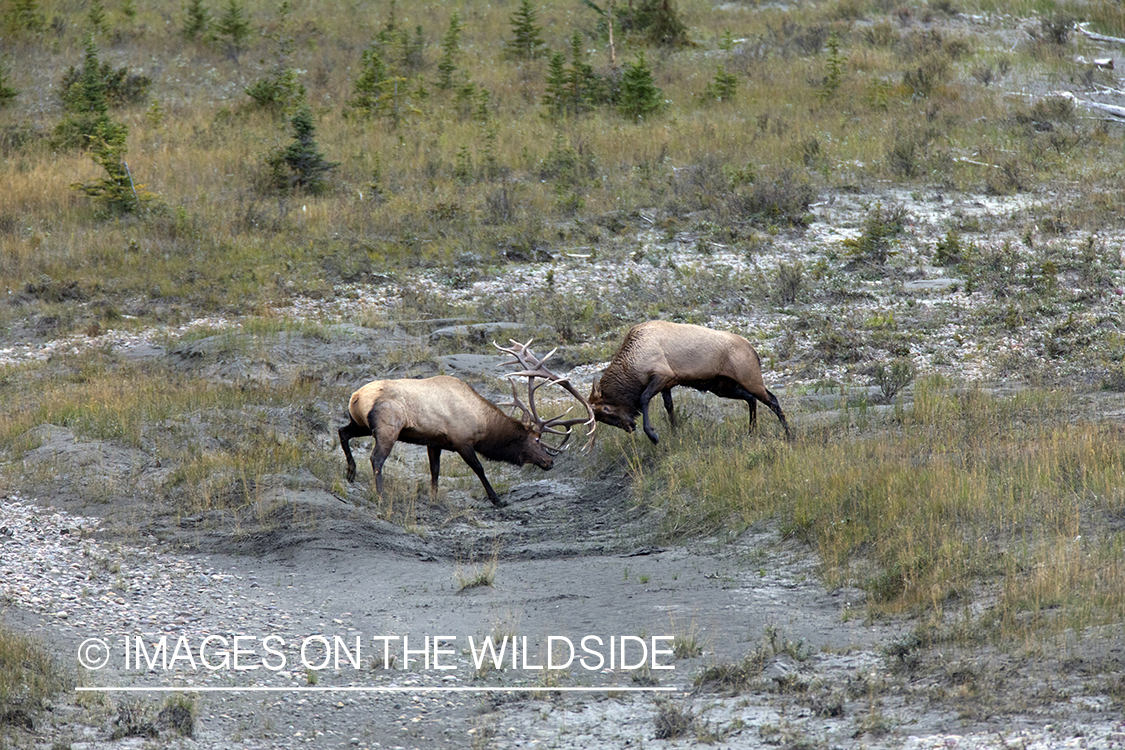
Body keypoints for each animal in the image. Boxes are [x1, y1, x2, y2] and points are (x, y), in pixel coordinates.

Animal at [335, 341, 594, 508]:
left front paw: (434, 498)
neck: (483, 423)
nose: (550, 462)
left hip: (360, 423)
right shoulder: (462, 440)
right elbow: (479, 468)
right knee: (376, 458)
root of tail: (357, 396)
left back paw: (350, 472)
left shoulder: (433, 441)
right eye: (537, 439)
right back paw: (380, 496)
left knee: (342, 431)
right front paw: (497, 499)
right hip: (387, 427)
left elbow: (435, 470)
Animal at [589, 319, 792, 443]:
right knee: (751, 399)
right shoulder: (667, 383)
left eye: (606, 409)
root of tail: (754, 351)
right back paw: (751, 431)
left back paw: (790, 434)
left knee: (772, 400)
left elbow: (644, 398)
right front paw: (674, 432)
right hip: (723, 387)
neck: (634, 366)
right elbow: (669, 406)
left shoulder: (662, 374)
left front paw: (653, 435)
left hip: (750, 378)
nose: (629, 426)